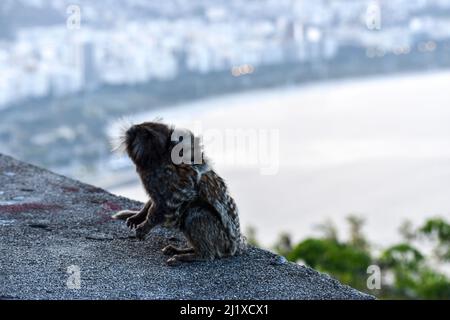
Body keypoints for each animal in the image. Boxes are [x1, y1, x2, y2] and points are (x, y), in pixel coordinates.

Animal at [112, 121, 246, 266]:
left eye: (144, 133)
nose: (131, 129)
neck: (158, 159)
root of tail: (236, 247)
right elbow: (154, 201)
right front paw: (138, 216)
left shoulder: (168, 180)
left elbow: (174, 201)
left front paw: (145, 226)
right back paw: (185, 250)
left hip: (221, 240)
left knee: (195, 213)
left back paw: (195, 255)